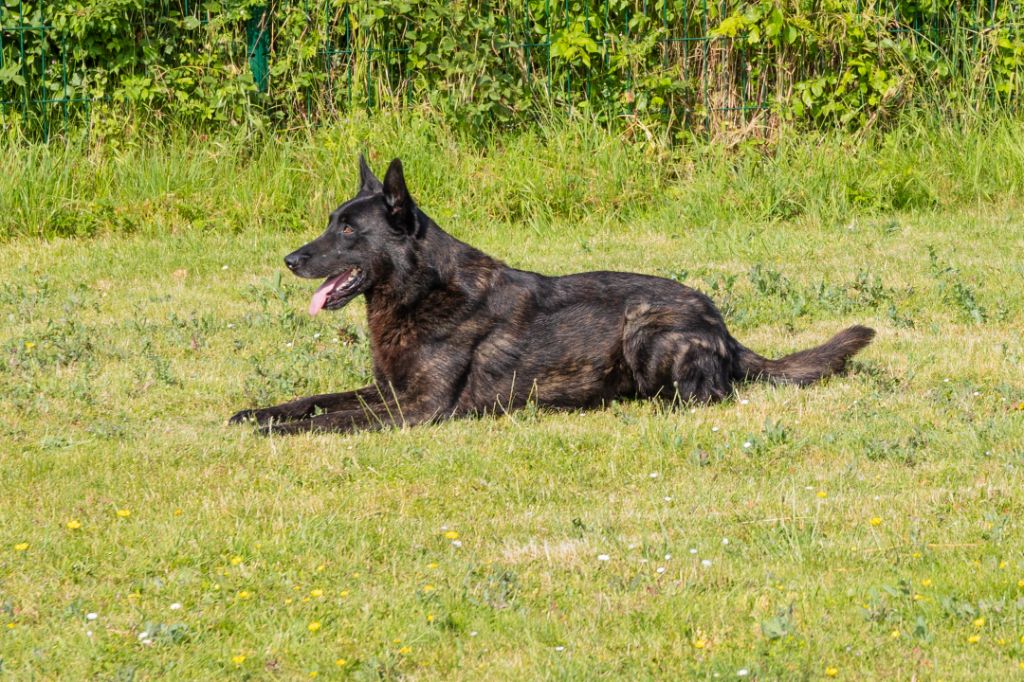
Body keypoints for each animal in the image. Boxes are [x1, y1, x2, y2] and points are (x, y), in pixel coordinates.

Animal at [230, 155, 872, 430]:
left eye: (347, 231)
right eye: (329, 222)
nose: (290, 259)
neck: (420, 291)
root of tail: (724, 329)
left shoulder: (418, 408)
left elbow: (333, 419)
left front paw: (277, 430)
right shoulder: (388, 391)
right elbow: (315, 400)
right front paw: (258, 413)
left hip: (645, 328)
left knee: (704, 397)